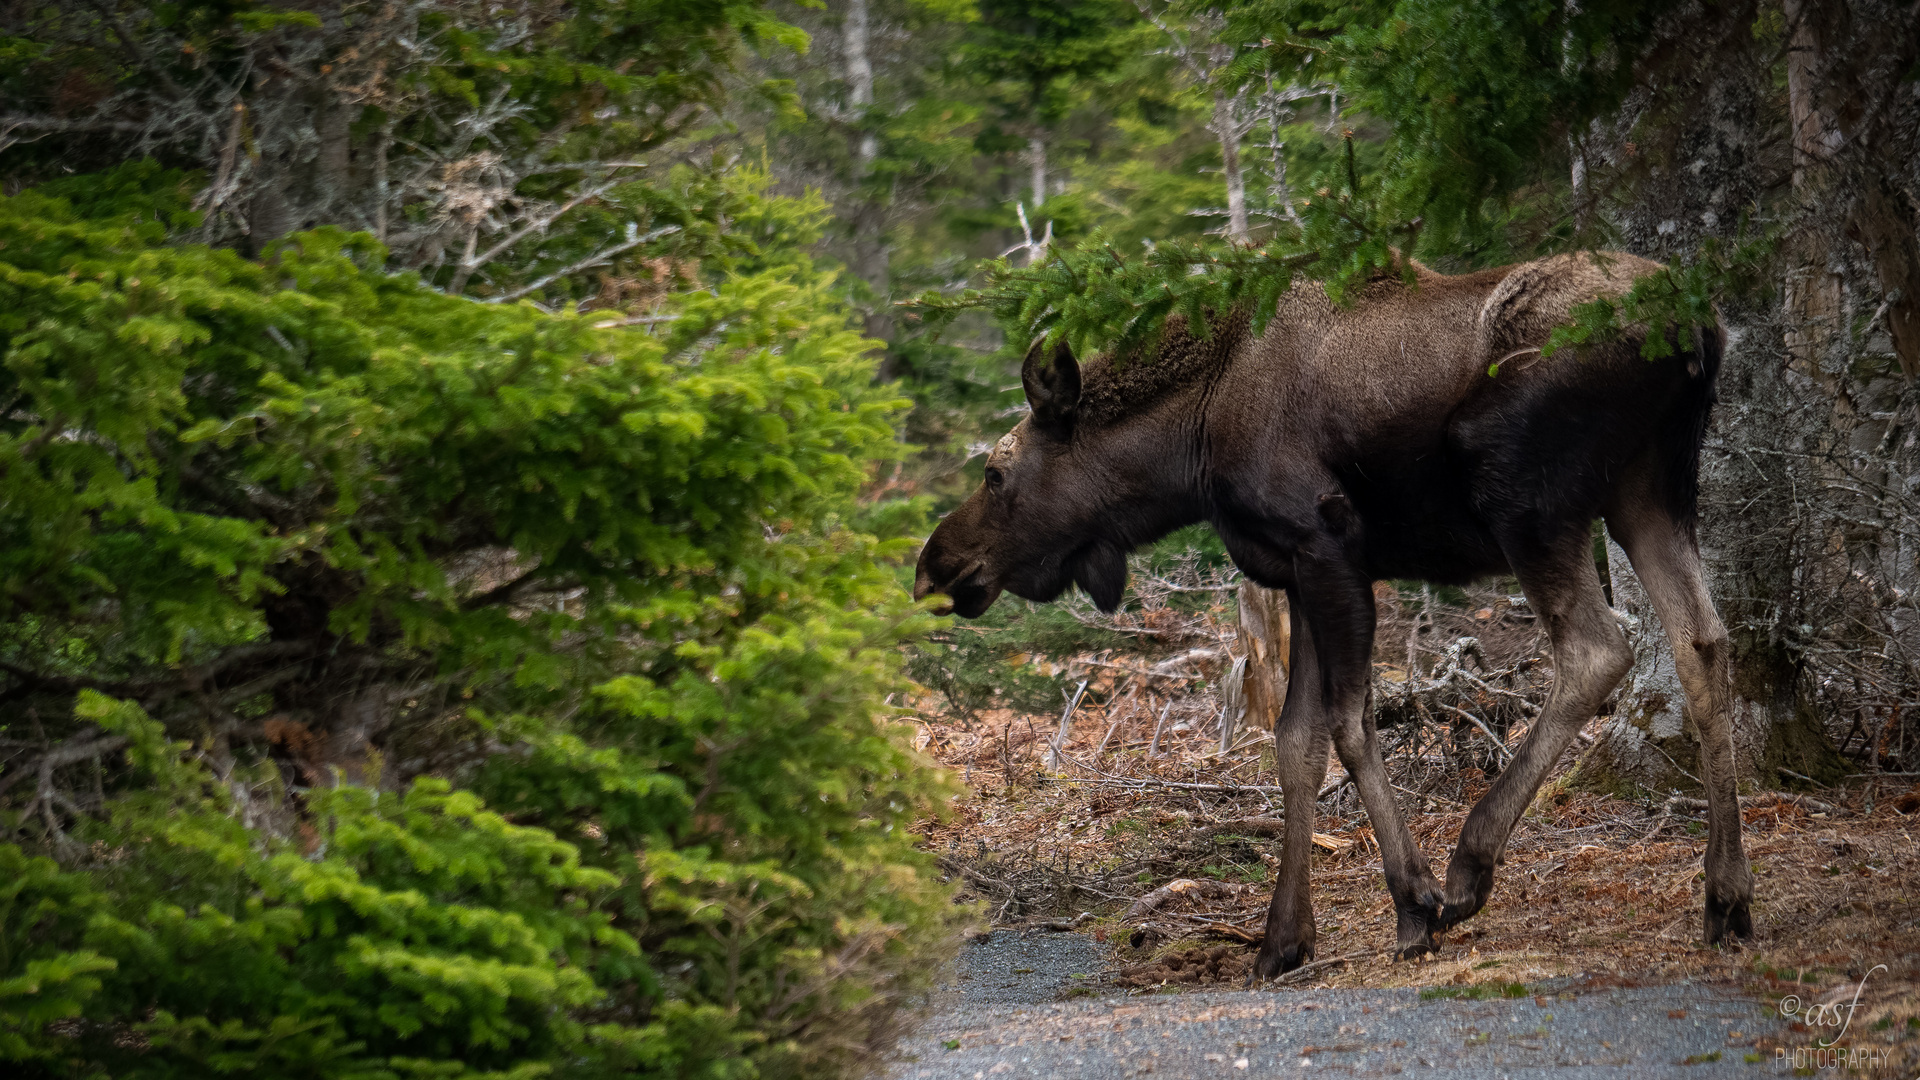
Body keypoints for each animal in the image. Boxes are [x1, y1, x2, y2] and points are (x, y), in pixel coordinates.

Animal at [917, 253, 1758, 976]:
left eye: (995, 473)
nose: (934, 567)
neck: (1189, 445)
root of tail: (1699, 327)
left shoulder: (1329, 548)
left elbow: (1349, 724)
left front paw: (1413, 905)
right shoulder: (1297, 573)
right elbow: (1296, 742)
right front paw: (1283, 939)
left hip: (1527, 498)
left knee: (1596, 649)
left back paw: (1469, 865)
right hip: (1650, 491)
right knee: (1703, 640)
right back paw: (1727, 897)